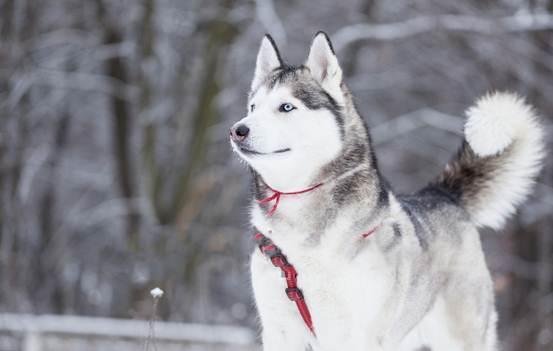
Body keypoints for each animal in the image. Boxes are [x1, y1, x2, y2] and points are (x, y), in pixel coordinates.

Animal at [227, 31, 544, 350]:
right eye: (253, 107)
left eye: (286, 107)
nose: (237, 130)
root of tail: (441, 195)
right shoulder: (280, 331)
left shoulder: (357, 333)